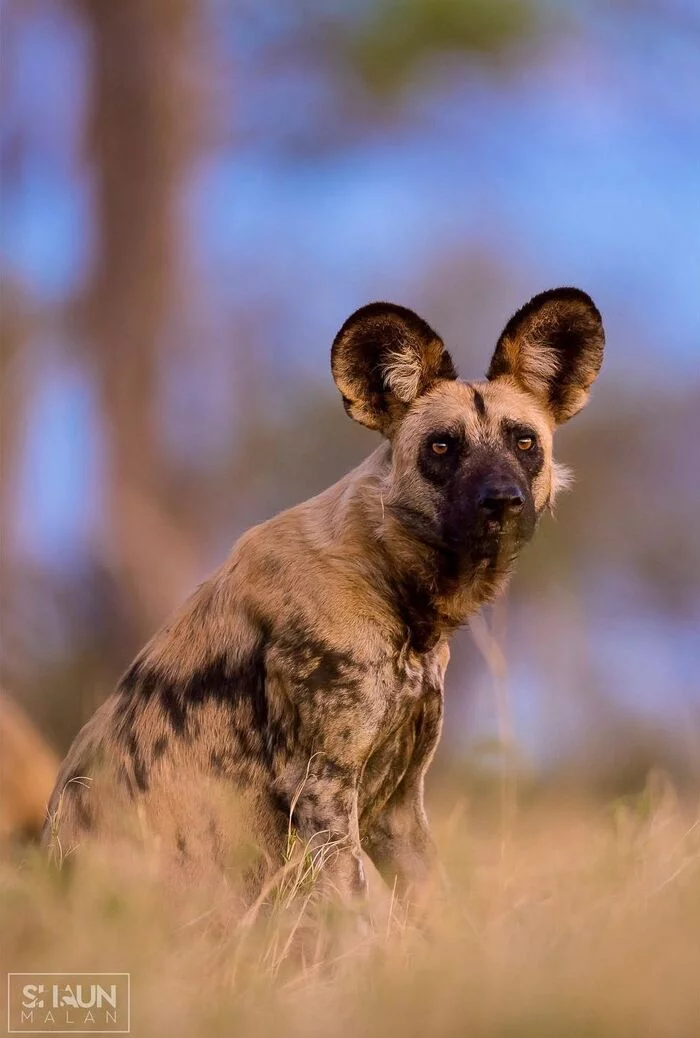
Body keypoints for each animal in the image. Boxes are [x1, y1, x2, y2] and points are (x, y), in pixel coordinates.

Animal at [43, 290, 602, 909]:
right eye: (442, 447)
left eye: (524, 442)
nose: (501, 501)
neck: (390, 580)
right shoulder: (321, 792)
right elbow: (358, 915)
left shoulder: (398, 810)